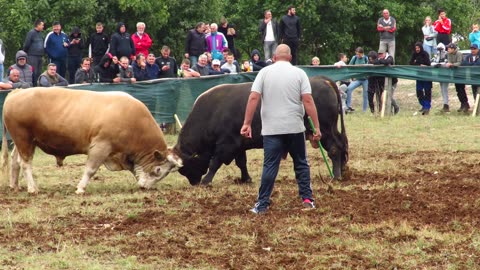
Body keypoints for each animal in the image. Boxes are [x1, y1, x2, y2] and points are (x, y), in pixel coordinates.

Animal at [172, 76, 348, 186]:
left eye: (186, 167)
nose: (193, 182)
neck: (212, 112)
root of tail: (322, 80)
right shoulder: (239, 144)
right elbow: (241, 163)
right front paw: (246, 179)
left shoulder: (227, 144)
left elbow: (215, 162)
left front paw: (206, 181)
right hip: (331, 129)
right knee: (341, 145)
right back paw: (342, 170)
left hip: (324, 131)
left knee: (334, 149)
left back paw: (336, 175)